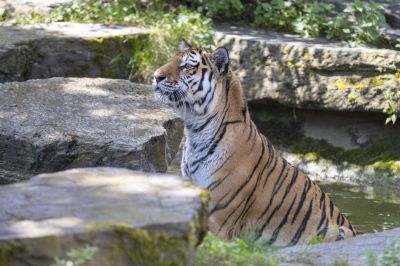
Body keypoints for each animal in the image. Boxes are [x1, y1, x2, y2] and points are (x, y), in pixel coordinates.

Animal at [153, 39, 356, 245]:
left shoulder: (216, 219)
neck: (195, 131)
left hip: (339, 231)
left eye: (187, 66)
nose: (156, 76)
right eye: (171, 60)